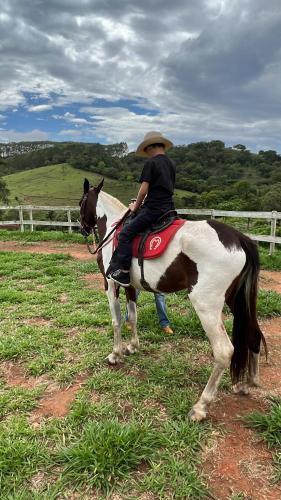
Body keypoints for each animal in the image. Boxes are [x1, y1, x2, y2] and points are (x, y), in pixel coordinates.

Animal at [80, 178, 266, 420]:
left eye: (81, 202)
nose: (82, 227)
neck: (114, 228)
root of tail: (239, 239)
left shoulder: (110, 284)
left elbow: (117, 321)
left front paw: (115, 354)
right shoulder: (130, 286)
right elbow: (132, 317)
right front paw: (132, 347)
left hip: (206, 305)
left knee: (224, 351)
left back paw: (201, 406)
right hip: (237, 300)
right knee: (253, 334)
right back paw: (247, 384)